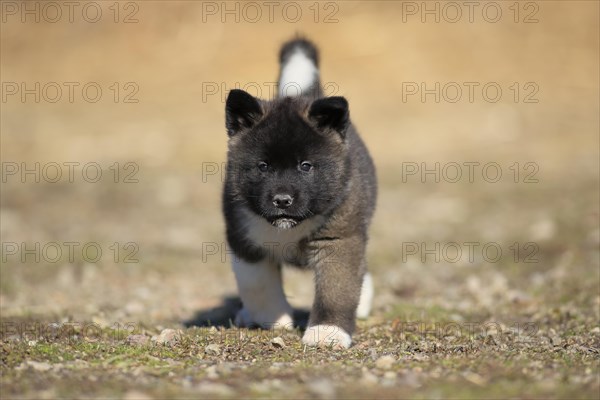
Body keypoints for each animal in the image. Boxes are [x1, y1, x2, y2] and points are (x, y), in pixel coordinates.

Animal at [223, 38, 378, 350]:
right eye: (263, 166)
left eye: (305, 166)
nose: (282, 200)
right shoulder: (243, 240)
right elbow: (256, 284)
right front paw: (274, 320)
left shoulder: (340, 240)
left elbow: (337, 289)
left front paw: (327, 332)